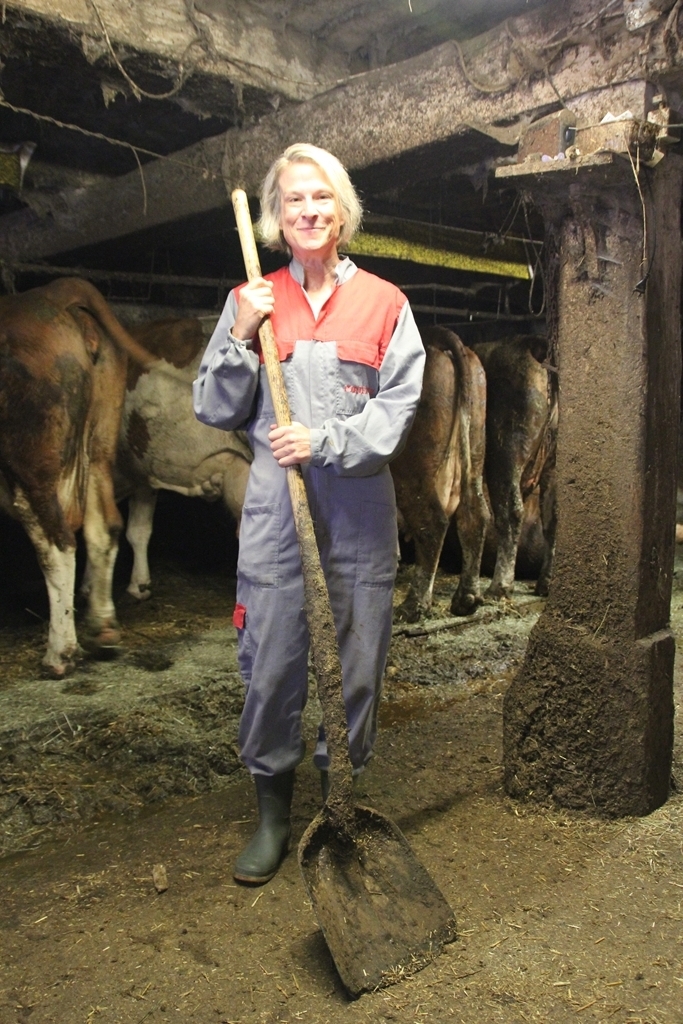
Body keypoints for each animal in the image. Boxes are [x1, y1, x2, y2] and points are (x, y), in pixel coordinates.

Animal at [0, 277, 161, 677]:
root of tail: (55, 290)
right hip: (99, 444)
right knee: (105, 526)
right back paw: (103, 628)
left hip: (33, 462)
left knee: (57, 543)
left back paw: (61, 652)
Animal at [391, 325, 490, 622]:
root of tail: (435, 335)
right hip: (474, 454)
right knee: (475, 515)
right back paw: (466, 598)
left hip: (411, 470)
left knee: (432, 524)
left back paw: (413, 606)